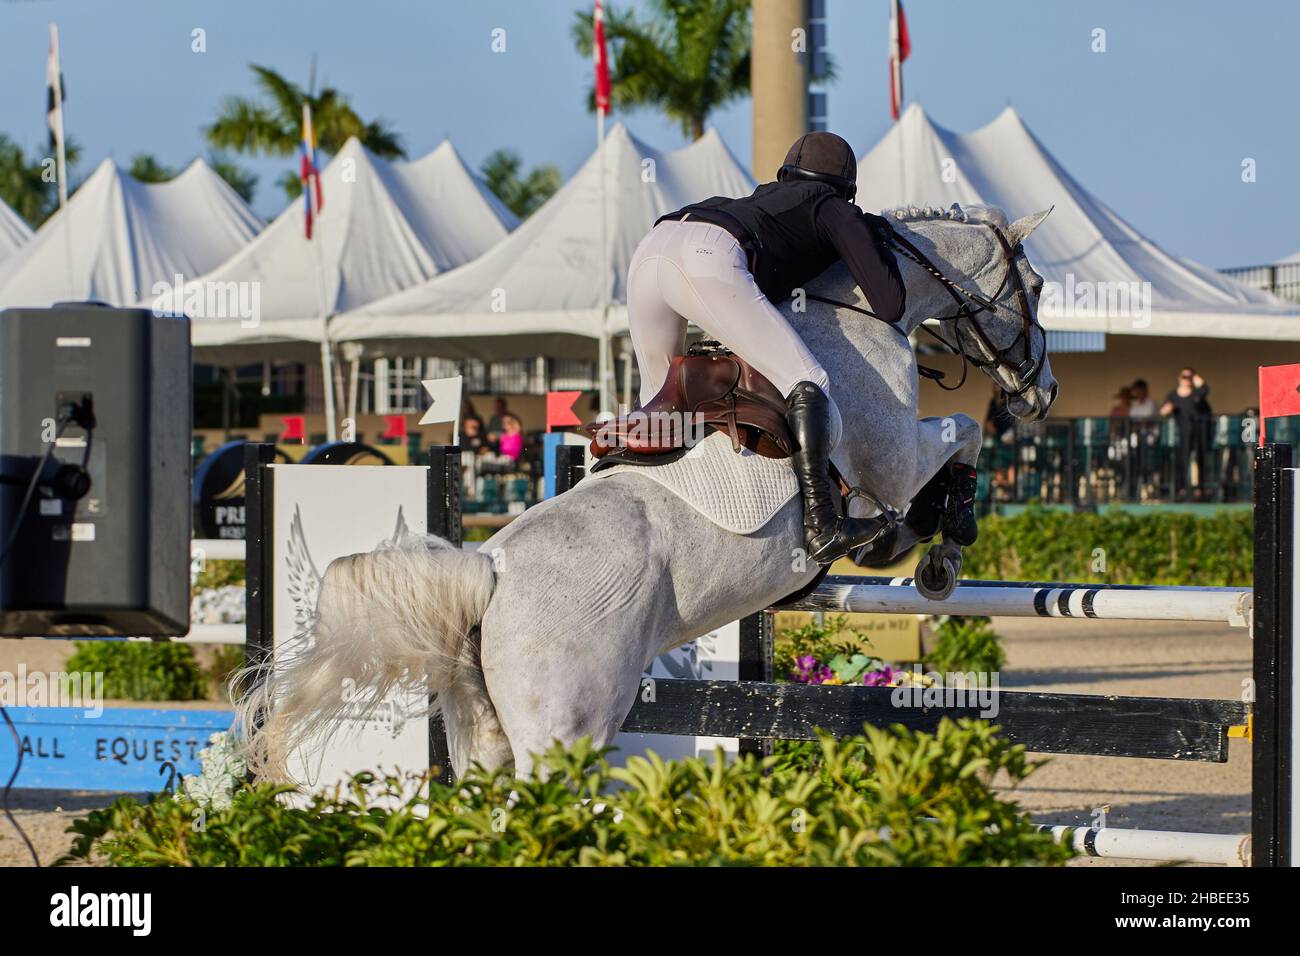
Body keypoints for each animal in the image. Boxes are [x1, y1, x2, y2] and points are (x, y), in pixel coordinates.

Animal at [239, 201, 1055, 780]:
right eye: (1039, 287)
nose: (1040, 393)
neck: (852, 317)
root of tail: (487, 568)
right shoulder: (895, 458)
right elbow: (960, 434)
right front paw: (940, 548)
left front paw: (918, 542)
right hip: (565, 733)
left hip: (486, 742)